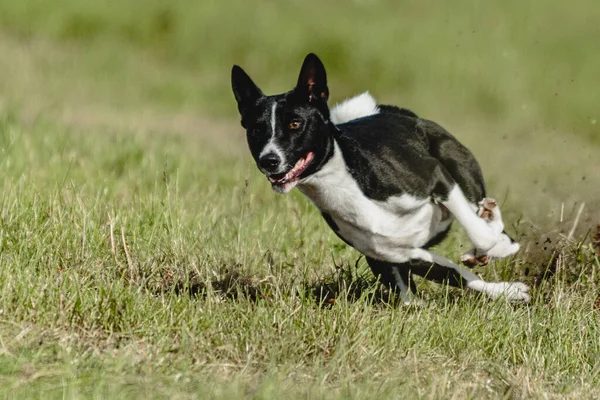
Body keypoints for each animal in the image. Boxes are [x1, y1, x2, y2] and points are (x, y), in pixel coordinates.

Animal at [230, 53, 528, 304]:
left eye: (295, 123)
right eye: (255, 130)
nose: (269, 160)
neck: (343, 185)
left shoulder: (436, 177)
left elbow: (482, 236)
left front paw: (497, 247)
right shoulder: (400, 255)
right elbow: (455, 276)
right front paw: (507, 290)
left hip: (452, 156)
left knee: (481, 212)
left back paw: (491, 231)